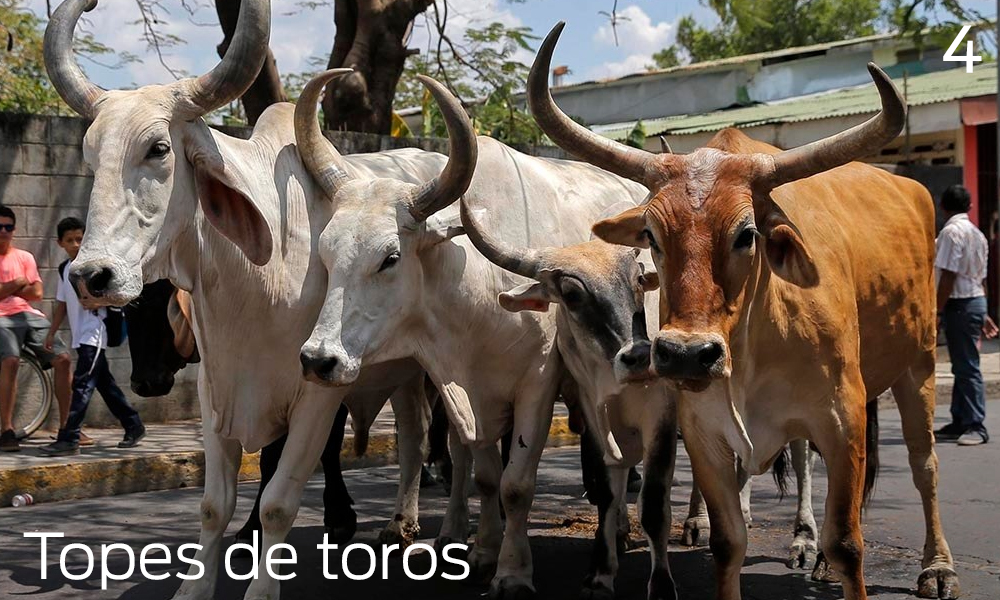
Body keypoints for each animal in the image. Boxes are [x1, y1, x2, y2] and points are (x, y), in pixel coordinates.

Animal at [532, 21, 960, 600]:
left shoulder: (842, 419)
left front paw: (838, 555)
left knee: (924, 464)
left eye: (746, 234)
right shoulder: (705, 430)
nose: (686, 355)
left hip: (919, 365)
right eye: (652, 235)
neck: (752, 342)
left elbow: (848, 545)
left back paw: (935, 566)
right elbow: (728, 542)